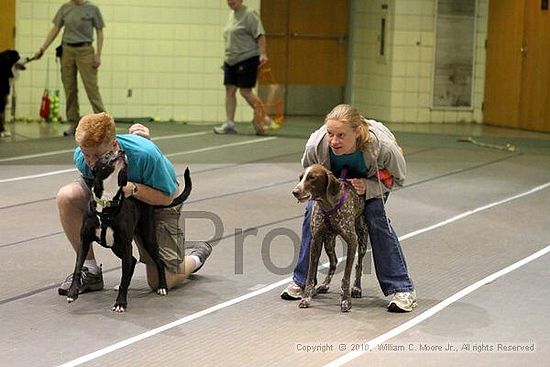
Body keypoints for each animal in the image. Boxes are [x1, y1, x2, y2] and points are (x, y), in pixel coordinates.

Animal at [66, 150, 193, 314]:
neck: (107, 203)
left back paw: (162, 287)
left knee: (158, 262)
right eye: (107, 155)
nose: (121, 151)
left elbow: (125, 275)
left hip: (147, 238)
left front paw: (120, 303)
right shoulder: (85, 241)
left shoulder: (126, 245)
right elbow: (77, 267)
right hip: (116, 246)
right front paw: (72, 292)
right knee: (132, 262)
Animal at [292, 165, 368, 312]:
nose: (295, 192)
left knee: (359, 264)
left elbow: (346, 277)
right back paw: (325, 284)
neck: (328, 205)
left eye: (312, 177)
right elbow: (310, 274)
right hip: (328, 242)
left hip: (362, 239)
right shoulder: (316, 240)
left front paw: (345, 300)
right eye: (301, 177)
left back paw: (357, 288)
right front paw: (306, 298)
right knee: (334, 262)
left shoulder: (352, 242)